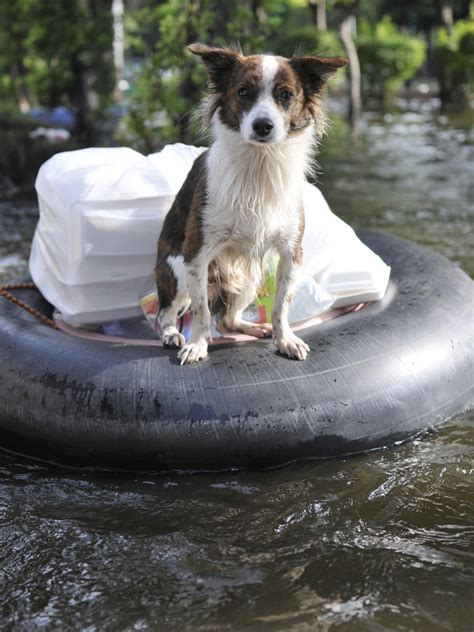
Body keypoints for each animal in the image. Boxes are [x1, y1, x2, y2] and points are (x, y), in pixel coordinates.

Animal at [157, 43, 346, 366]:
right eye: (243, 92)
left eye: (286, 95)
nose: (263, 126)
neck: (260, 164)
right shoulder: (196, 253)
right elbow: (201, 310)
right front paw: (197, 344)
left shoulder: (290, 252)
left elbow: (281, 305)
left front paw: (285, 339)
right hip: (179, 273)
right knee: (166, 315)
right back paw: (173, 334)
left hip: (250, 276)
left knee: (227, 320)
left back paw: (255, 328)